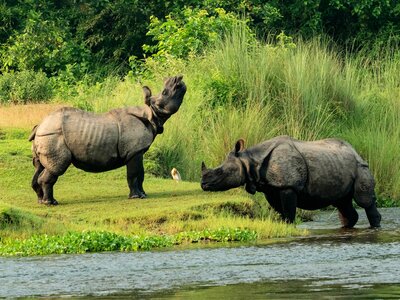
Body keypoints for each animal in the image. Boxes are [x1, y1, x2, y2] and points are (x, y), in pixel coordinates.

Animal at [28, 76, 187, 205]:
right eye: (165, 92)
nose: (179, 79)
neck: (152, 114)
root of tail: (40, 126)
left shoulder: (138, 151)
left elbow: (140, 174)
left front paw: (144, 195)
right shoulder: (134, 151)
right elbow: (134, 174)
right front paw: (136, 197)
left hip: (45, 136)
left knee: (39, 167)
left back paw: (41, 201)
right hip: (52, 136)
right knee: (56, 167)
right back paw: (51, 203)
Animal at [202, 136, 382, 227]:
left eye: (221, 172)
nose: (203, 185)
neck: (250, 160)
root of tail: (355, 152)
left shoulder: (288, 187)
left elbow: (289, 212)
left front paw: (289, 226)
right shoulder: (271, 189)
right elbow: (282, 212)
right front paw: (285, 226)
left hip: (360, 167)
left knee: (363, 201)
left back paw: (375, 227)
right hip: (338, 164)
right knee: (342, 202)